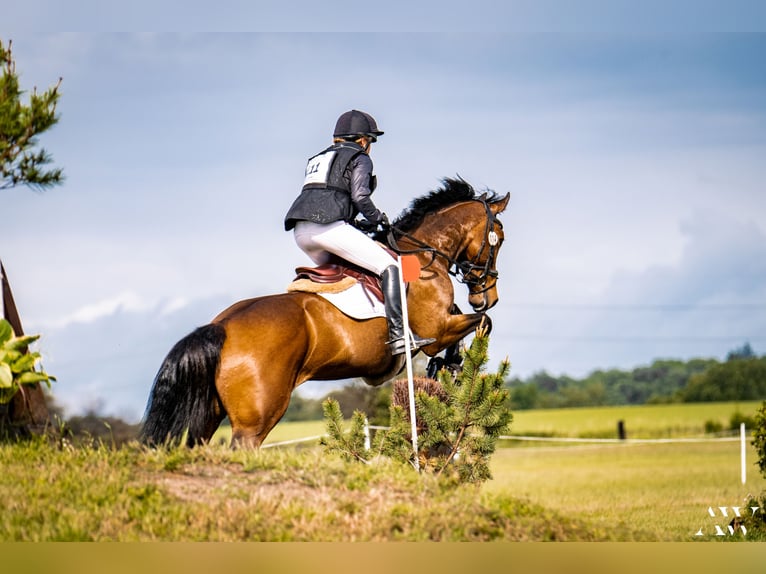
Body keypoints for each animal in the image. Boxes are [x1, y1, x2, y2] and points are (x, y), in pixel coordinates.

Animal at [140, 177, 510, 450]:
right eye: (499, 239)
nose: (488, 296)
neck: (423, 256)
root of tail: (220, 326)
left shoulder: (447, 322)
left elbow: (467, 324)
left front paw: (448, 366)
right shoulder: (437, 329)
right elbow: (481, 324)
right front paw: (454, 366)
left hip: (207, 414)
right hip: (255, 420)